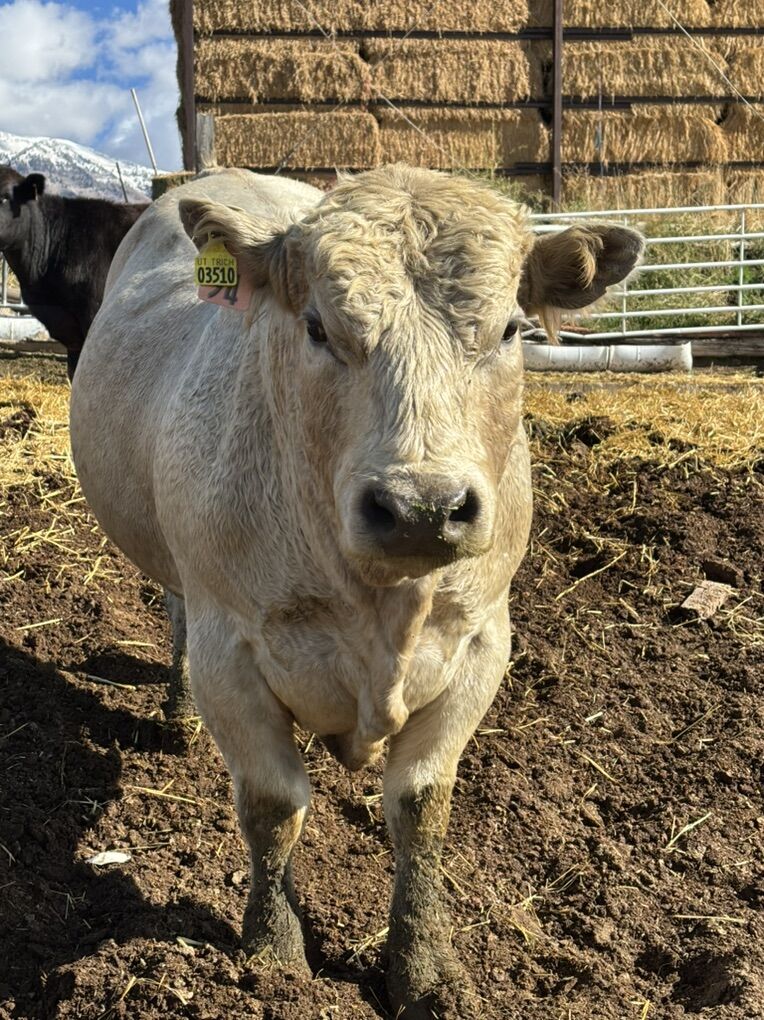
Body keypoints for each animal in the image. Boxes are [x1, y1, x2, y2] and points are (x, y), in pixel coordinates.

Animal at [69, 166, 642, 1017]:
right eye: (315, 327)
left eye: (511, 329)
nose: (421, 506)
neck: (384, 606)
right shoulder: (228, 646)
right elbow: (274, 806)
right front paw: (273, 952)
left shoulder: (482, 641)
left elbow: (422, 807)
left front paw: (424, 965)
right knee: (173, 612)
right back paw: (175, 715)